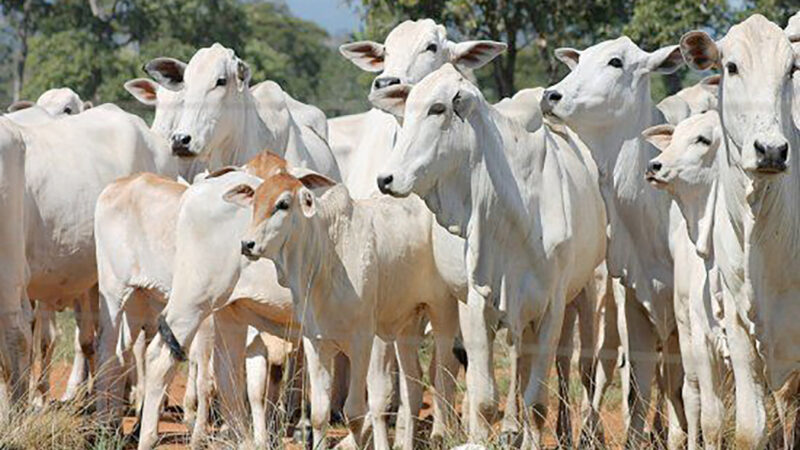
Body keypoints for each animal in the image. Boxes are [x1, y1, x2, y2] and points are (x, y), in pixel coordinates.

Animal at [376, 65, 608, 448]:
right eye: (406, 111)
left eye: (438, 109)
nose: (386, 178)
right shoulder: (476, 304)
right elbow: (484, 399)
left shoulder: (551, 306)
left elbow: (537, 403)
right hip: (445, 304)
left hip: (584, 293)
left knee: (576, 368)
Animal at [644, 110, 732, 450]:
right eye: (676, 136)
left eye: (703, 139)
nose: (654, 166)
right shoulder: (704, 342)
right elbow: (712, 419)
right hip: (685, 332)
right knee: (691, 398)